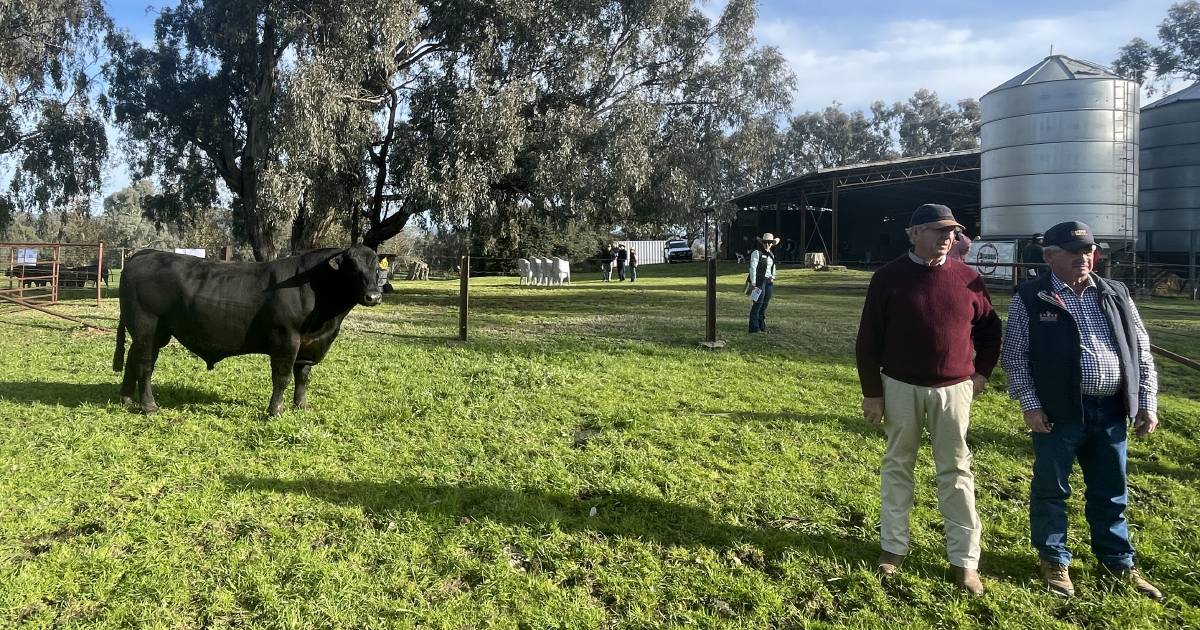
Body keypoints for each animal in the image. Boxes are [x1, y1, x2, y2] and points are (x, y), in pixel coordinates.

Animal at [113, 247, 379, 417]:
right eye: (351, 267)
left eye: (377, 267)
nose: (374, 296)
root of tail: (144, 254)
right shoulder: (286, 340)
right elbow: (282, 378)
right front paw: (275, 411)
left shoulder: (308, 345)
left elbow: (303, 377)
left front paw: (302, 406)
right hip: (147, 329)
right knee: (144, 365)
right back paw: (148, 406)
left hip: (151, 333)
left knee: (132, 359)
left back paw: (126, 399)